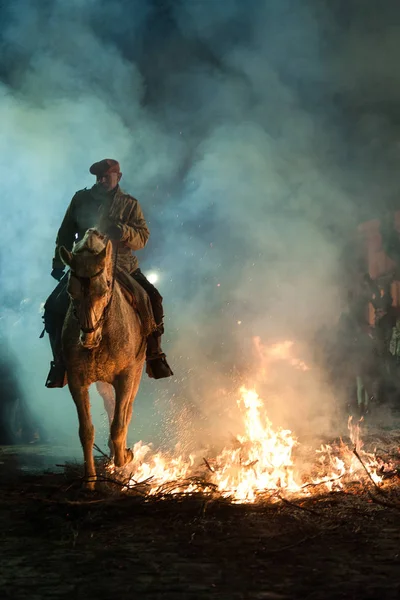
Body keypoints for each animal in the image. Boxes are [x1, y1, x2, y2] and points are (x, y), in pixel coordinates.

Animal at [58, 227, 146, 490]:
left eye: (104, 289)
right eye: (71, 292)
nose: (88, 338)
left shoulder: (127, 376)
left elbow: (119, 424)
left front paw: (124, 456)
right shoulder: (77, 381)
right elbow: (86, 431)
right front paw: (89, 480)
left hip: (136, 374)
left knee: (126, 411)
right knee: (110, 407)